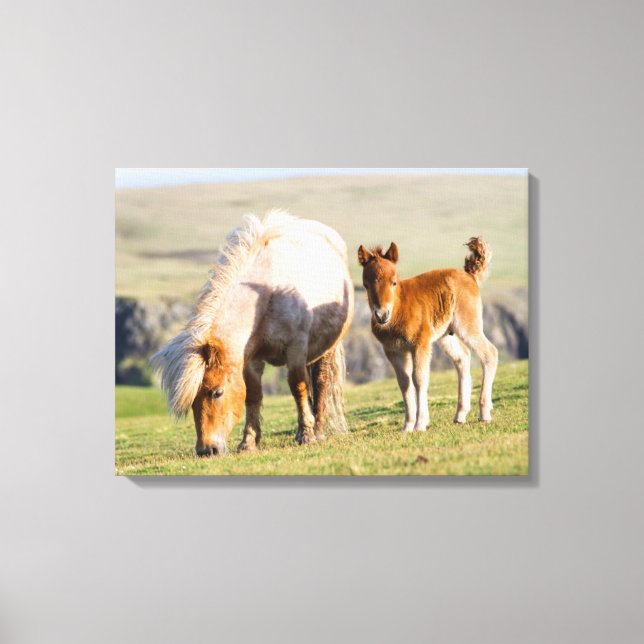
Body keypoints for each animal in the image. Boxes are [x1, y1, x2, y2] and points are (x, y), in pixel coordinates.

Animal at [151, 210, 354, 456]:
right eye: (192, 401)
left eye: (217, 392)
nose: (207, 450)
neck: (265, 295)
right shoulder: (250, 360)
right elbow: (253, 395)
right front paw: (248, 443)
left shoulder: (296, 348)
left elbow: (298, 387)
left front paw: (307, 435)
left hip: (326, 348)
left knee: (321, 383)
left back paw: (319, 430)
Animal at [357, 238, 498, 431]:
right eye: (366, 285)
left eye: (394, 282)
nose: (382, 315)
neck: (400, 309)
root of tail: (470, 276)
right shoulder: (393, 350)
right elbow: (404, 383)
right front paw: (407, 426)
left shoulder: (420, 343)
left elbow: (419, 379)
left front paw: (420, 423)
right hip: (446, 335)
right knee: (462, 357)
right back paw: (460, 414)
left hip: (468, 325)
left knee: (489, 353)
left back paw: (484, 413)